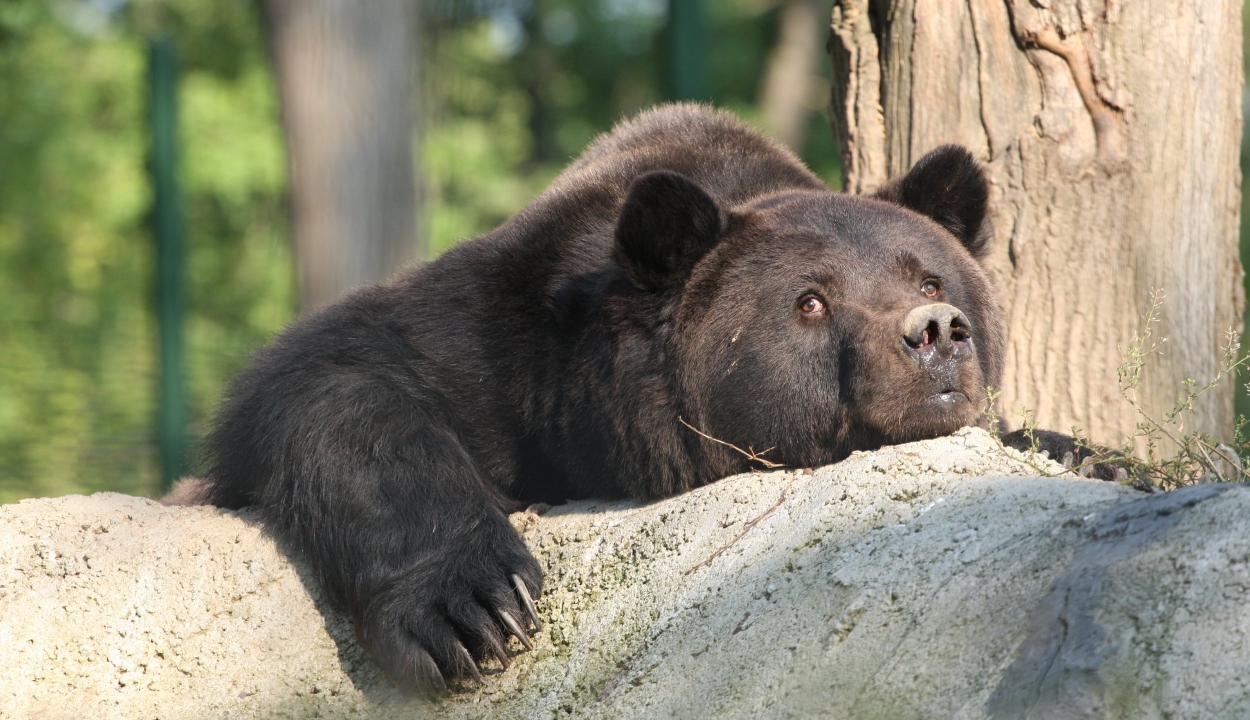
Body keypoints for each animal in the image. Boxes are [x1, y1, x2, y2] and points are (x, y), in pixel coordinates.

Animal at [173, 101, 1095, 690]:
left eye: (929, 276)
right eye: (811, 301)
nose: (935, 330)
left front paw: (1071, 445)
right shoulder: (500, 344)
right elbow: (343, 373)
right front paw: (477, 608)